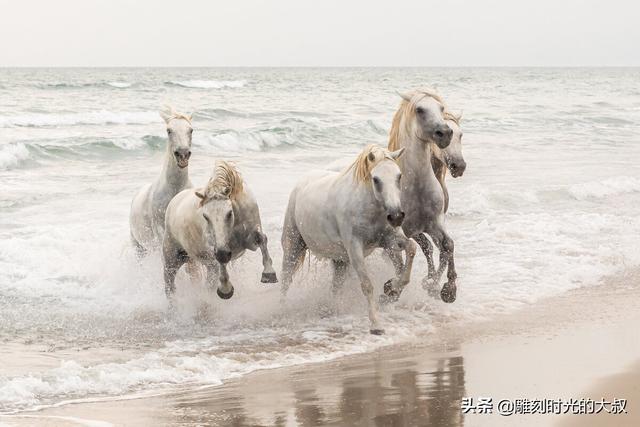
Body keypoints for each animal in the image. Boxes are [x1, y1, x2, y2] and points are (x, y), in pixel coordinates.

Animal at [162, 160, 276, 300]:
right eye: (205, 216)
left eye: (229, 213)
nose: (223, 253)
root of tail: (174, 201)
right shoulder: (215, 249)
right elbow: (220, 262)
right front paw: (225, 289)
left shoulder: (249, 241)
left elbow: (262, 239)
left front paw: (269, 273)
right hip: (172, 260)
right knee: (170, 287)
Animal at [282, 145, 416, 336]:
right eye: (376, 179)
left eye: (399, 176)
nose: (396, 216)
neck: (368, 208)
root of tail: (301, 184)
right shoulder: (355, 249)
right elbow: (367, 285)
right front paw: (376, 325)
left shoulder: (389, 241)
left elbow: (412, 249)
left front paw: (391, 289)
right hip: (293, 246)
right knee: (285, 279)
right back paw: (281, 310)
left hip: (339, 260)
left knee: (335, 287)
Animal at [382, 89, 458, 304]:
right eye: (419, 109)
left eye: (441, 108)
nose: (445, 133)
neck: (416, 188)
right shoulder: (403, 231)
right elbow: (402, 258)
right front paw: (393, 288)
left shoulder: (433, 223)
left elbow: (447, 245)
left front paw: (447, 290)